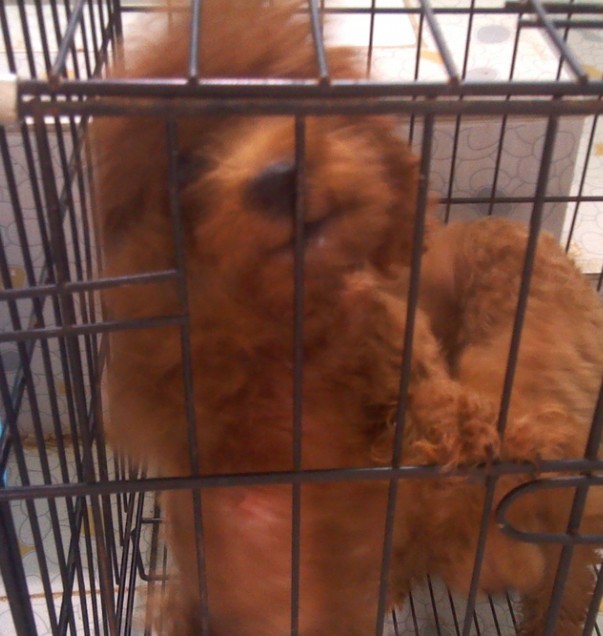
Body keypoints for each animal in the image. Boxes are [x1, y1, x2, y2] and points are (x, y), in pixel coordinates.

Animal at [94, 1, 503, 633]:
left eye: (298, 100)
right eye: (186, 165)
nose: (278, 177)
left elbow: (409, 356)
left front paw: (457, 419)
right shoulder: (170, 394)